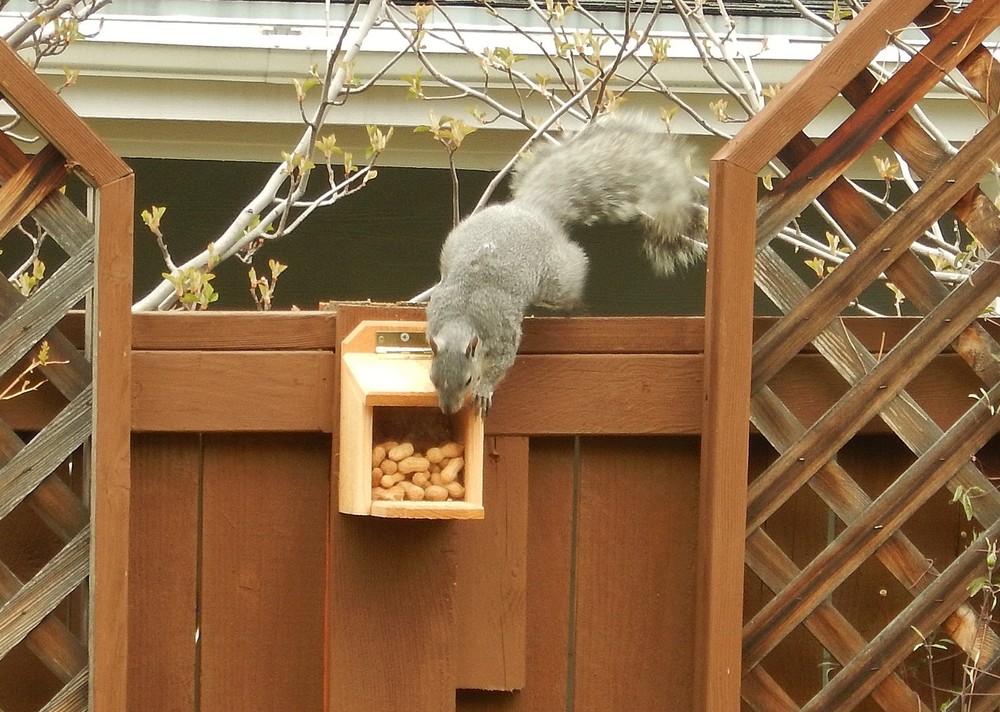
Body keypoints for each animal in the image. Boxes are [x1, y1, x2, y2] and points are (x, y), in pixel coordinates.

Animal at [425, 112, 704, 416]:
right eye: (433, 378)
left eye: (468, 380)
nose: (448, 410)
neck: (462, 317)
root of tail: (532, 208)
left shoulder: (502, 335)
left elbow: (501, 365)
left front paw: (484, 391)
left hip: (556, 280)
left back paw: (578, 308)